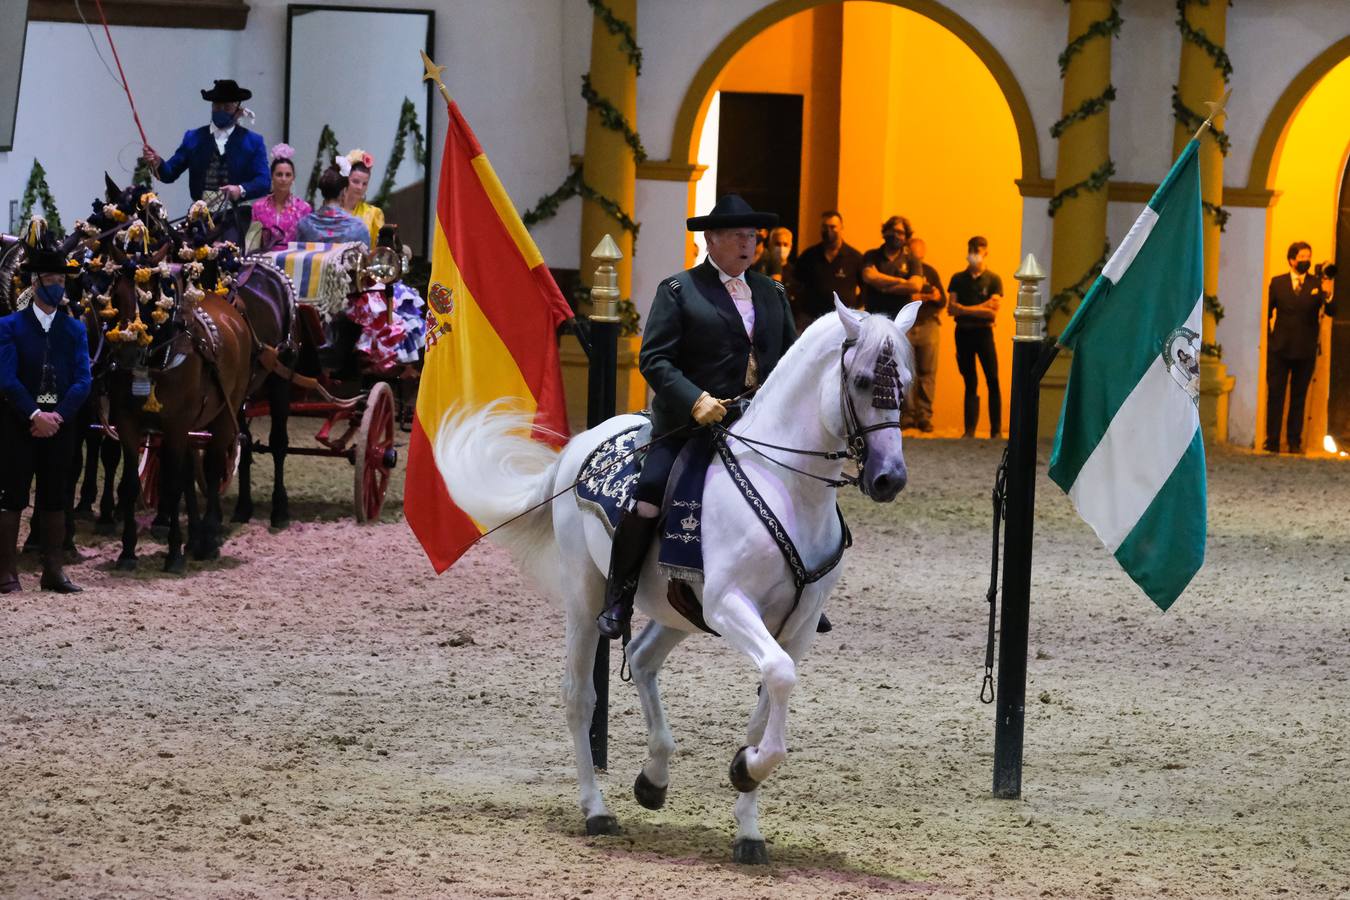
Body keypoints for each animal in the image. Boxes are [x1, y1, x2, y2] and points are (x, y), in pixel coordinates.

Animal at [432, 296, 918, 863]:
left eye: (905, 383)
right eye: (862, 381)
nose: (889, 479)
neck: (787, 487)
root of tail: (585, 443)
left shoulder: (796, 627)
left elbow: (770, 694)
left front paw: (748, 821)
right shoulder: (730, 605)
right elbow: (777, 677)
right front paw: (746, 767)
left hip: (678, 609)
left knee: (641, 658)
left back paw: (653, 779)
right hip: (587, 598)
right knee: (579, 695)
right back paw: (596, 810)